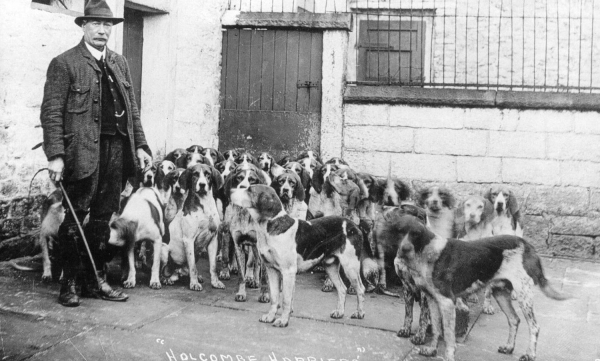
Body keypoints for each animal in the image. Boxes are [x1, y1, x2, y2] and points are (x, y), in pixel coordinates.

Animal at [232, 186, 372, 326]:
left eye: (250, 190)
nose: (230, 191)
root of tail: (355, 226)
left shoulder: (288, 272)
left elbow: (286, 300)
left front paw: (283, 321)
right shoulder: (271, 270)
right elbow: (274, 297)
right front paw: (270, 316)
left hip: (350, 267)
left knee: (360, 289)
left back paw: (359, 313)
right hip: (330, 266)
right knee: (342, 288)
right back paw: (339, 312)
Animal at [396, 214, 568, 360]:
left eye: (416, 234)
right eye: (400, 231)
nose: (404, 249)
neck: (427, 252)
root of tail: (527, 245)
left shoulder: (447, 302)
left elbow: (449, 336)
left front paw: (448, 356)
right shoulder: (432, 300)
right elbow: (436, 329)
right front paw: (431, 350)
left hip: (523, 295)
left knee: (534, 327)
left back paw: (530, 355)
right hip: (501, 293)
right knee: (514, 319)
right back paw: (509, 347)